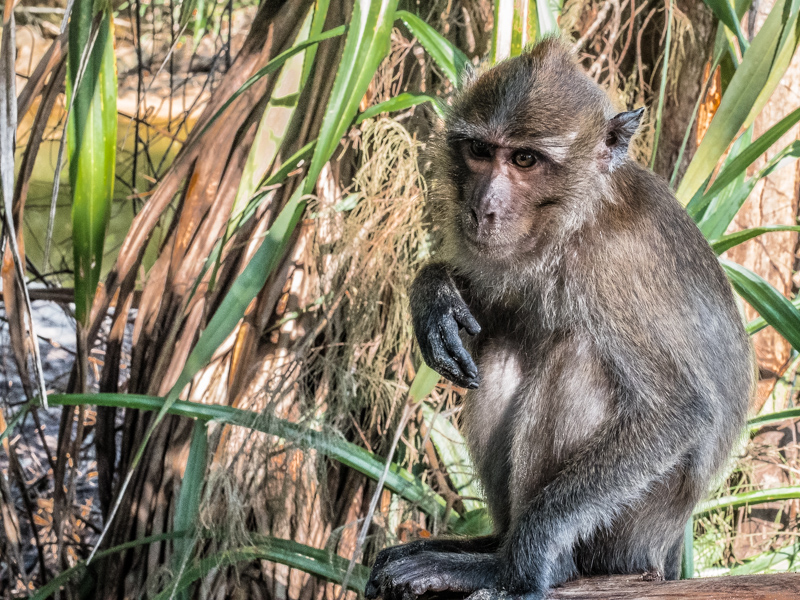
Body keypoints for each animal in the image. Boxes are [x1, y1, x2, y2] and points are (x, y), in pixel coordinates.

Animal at [366, 38, 752, 600]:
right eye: (479, 151)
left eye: (525, 159)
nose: (482, 210)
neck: (577, 215)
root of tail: (667, 547)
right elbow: (496, 308)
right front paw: (433, 292)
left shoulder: (610, 264)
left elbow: (677, 410)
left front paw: (520, 568)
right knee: (504, 349)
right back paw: (490, 543)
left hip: (631, 528)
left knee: (579, 357)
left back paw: (520, 564)